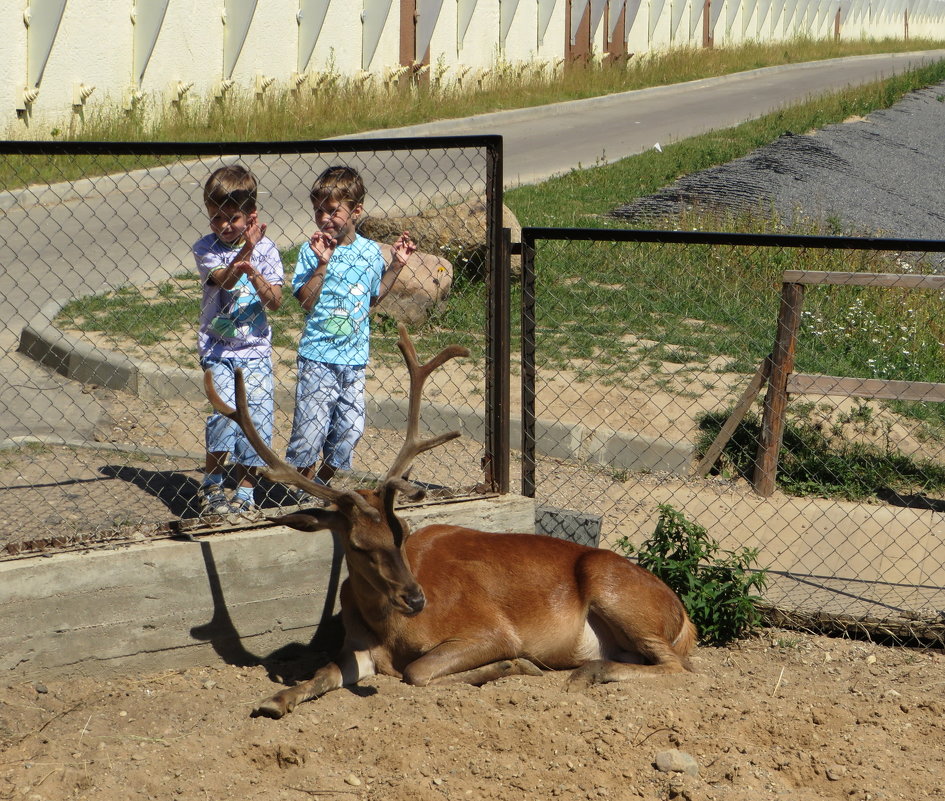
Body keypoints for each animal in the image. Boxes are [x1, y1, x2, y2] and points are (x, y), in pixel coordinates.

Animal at [205, 324, 692, 720]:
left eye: (401, 534)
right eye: (359, 545)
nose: (416, 599)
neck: (389, 630)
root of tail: (685, 617)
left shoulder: (490, 628)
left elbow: (417, 672)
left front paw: (517, 664)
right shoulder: (360, 647)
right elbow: (324, 671)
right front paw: (274, 700)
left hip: (613, 586)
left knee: (679, 666)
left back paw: (586, 673)